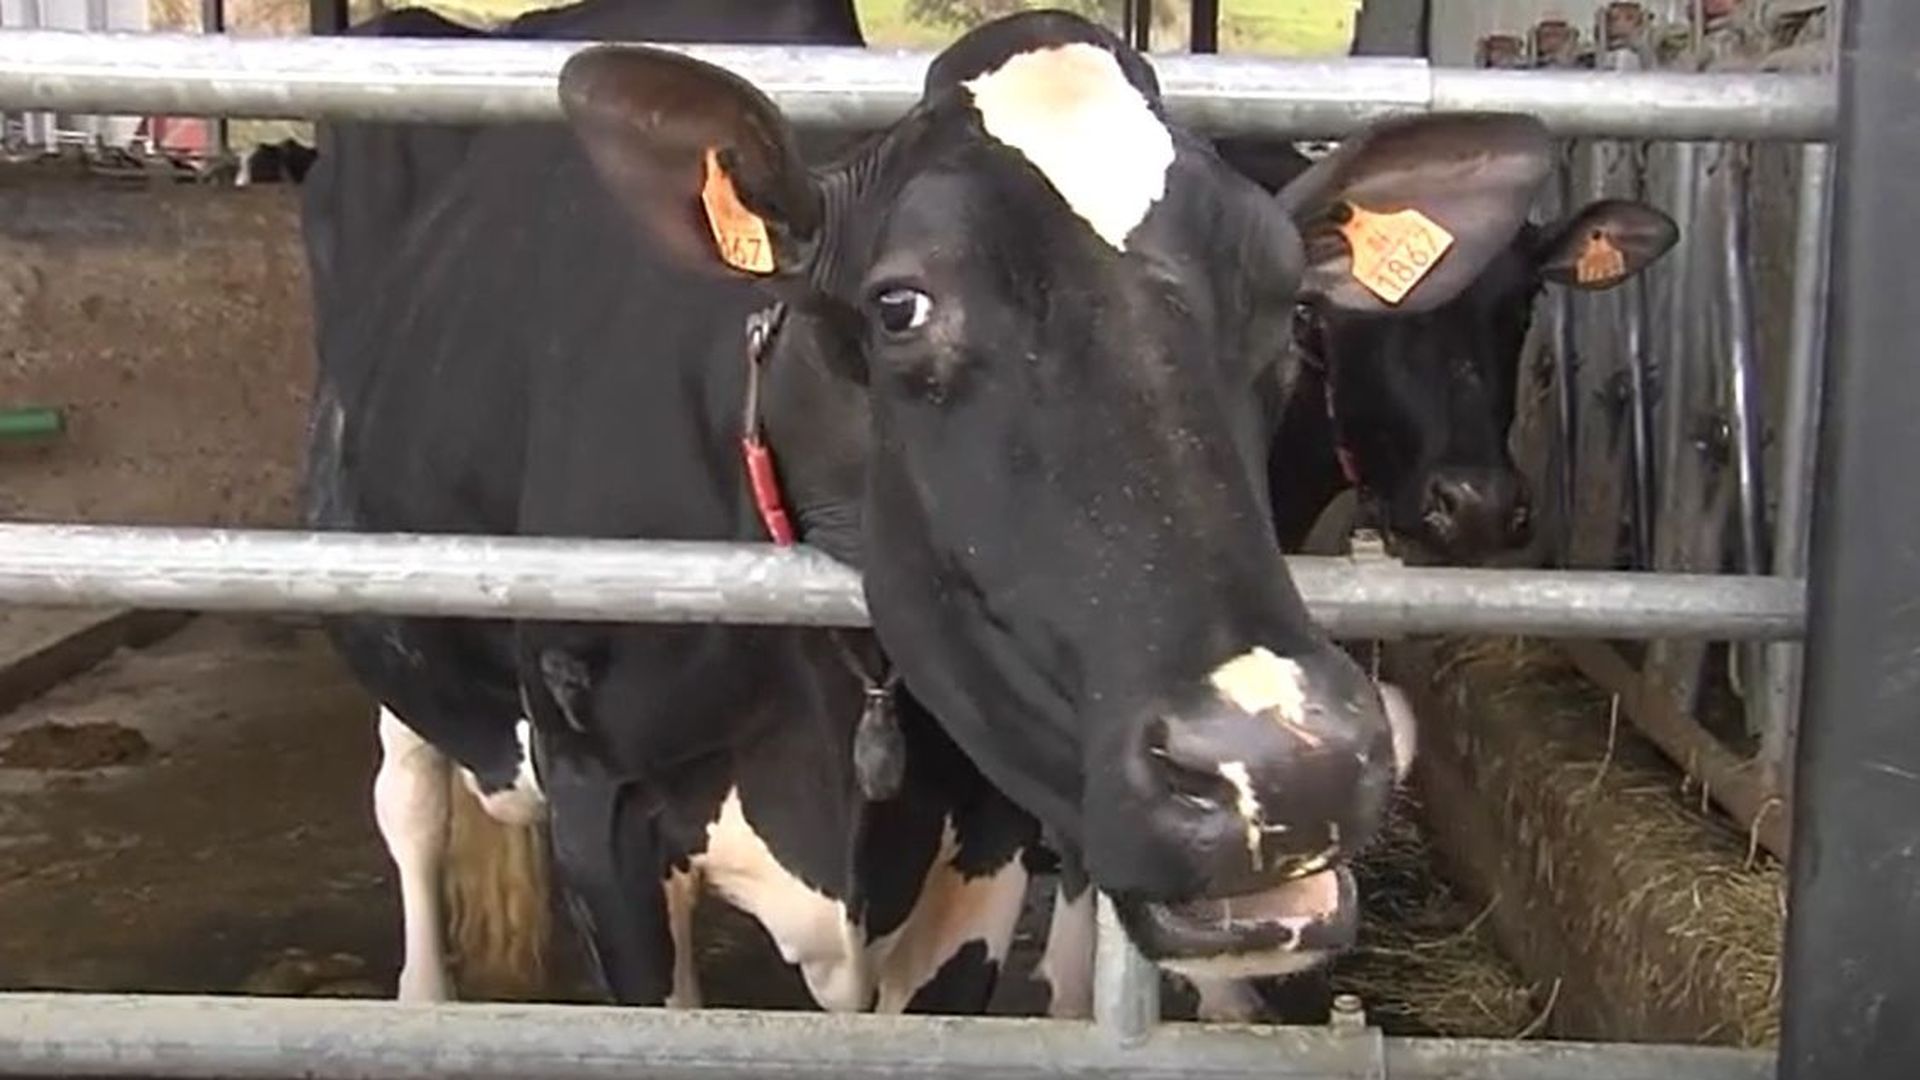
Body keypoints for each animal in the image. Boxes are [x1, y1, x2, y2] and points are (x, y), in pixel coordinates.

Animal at [302, 2, 1562, 1014]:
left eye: (1291, 308)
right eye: (901, 303)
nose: (1290, 768)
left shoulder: (982, 843)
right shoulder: (598, 802)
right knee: (408, 806)